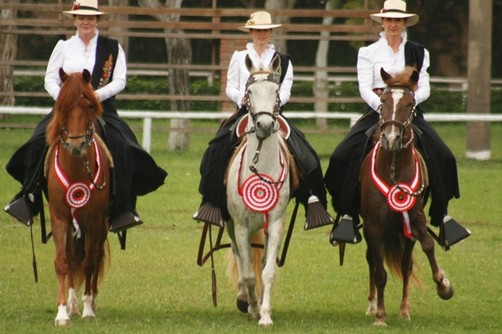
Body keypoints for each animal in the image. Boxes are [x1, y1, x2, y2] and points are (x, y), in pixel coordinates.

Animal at [45, 68, 112, 326]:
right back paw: (73, 305)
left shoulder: (95, 221)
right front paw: (63, 312)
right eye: (63, 106)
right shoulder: (60, 217)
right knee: (73, 258)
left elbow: (90, 262)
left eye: (90, 107)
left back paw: (89, 302)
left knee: (93, 258)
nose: (76, 145)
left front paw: (88, 309)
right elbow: (63, 262)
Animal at [358, 66, 452, 324]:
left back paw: (404, 309)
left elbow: (427, 246)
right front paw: (380, 316)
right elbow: (380, 272)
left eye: (410, 104)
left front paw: (443, 285)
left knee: (405, 262)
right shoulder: (373, 227)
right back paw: (372, 306)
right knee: (372, 260)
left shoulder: (414, 219)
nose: (390, 139)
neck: (393, 170)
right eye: (383, 101)